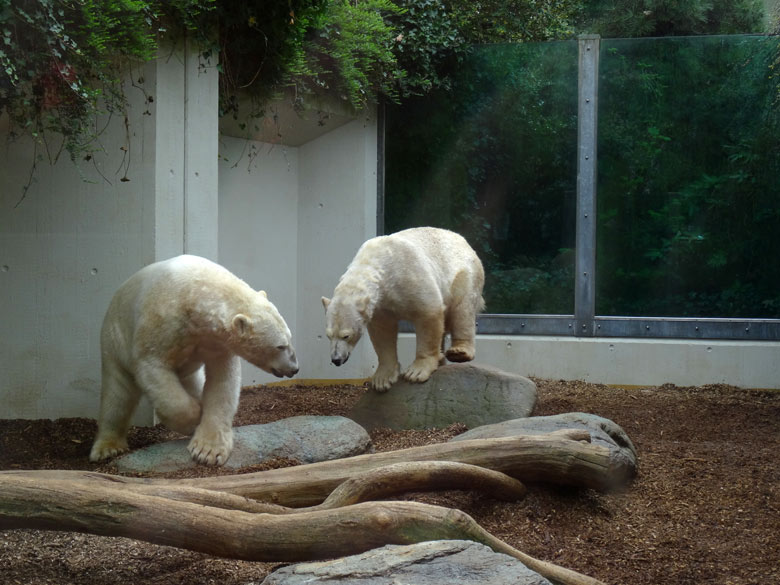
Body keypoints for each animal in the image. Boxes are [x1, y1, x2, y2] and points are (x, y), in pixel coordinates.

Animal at [90, 256, 298, 466]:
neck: (192, 295)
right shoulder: (159, 323)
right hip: (114, 341)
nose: (294, 368)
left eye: (290, 338)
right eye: (280, 346)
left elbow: (222, 382)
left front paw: (208, 449)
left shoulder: (216, 343)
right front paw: (194, 418)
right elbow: (153, 366)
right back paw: (108, 447)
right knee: (117, 394)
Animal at [322, 226, 482, 390]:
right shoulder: (381, 305)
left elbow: (428, 313)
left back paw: (459, 352)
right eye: (328, 335)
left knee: (462, 309)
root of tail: (463, 240)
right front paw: (382, 379)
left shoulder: (410, 276)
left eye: (346, 335)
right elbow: (383, 332)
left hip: (462, 273)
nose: (336, 360)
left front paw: (416, 372)